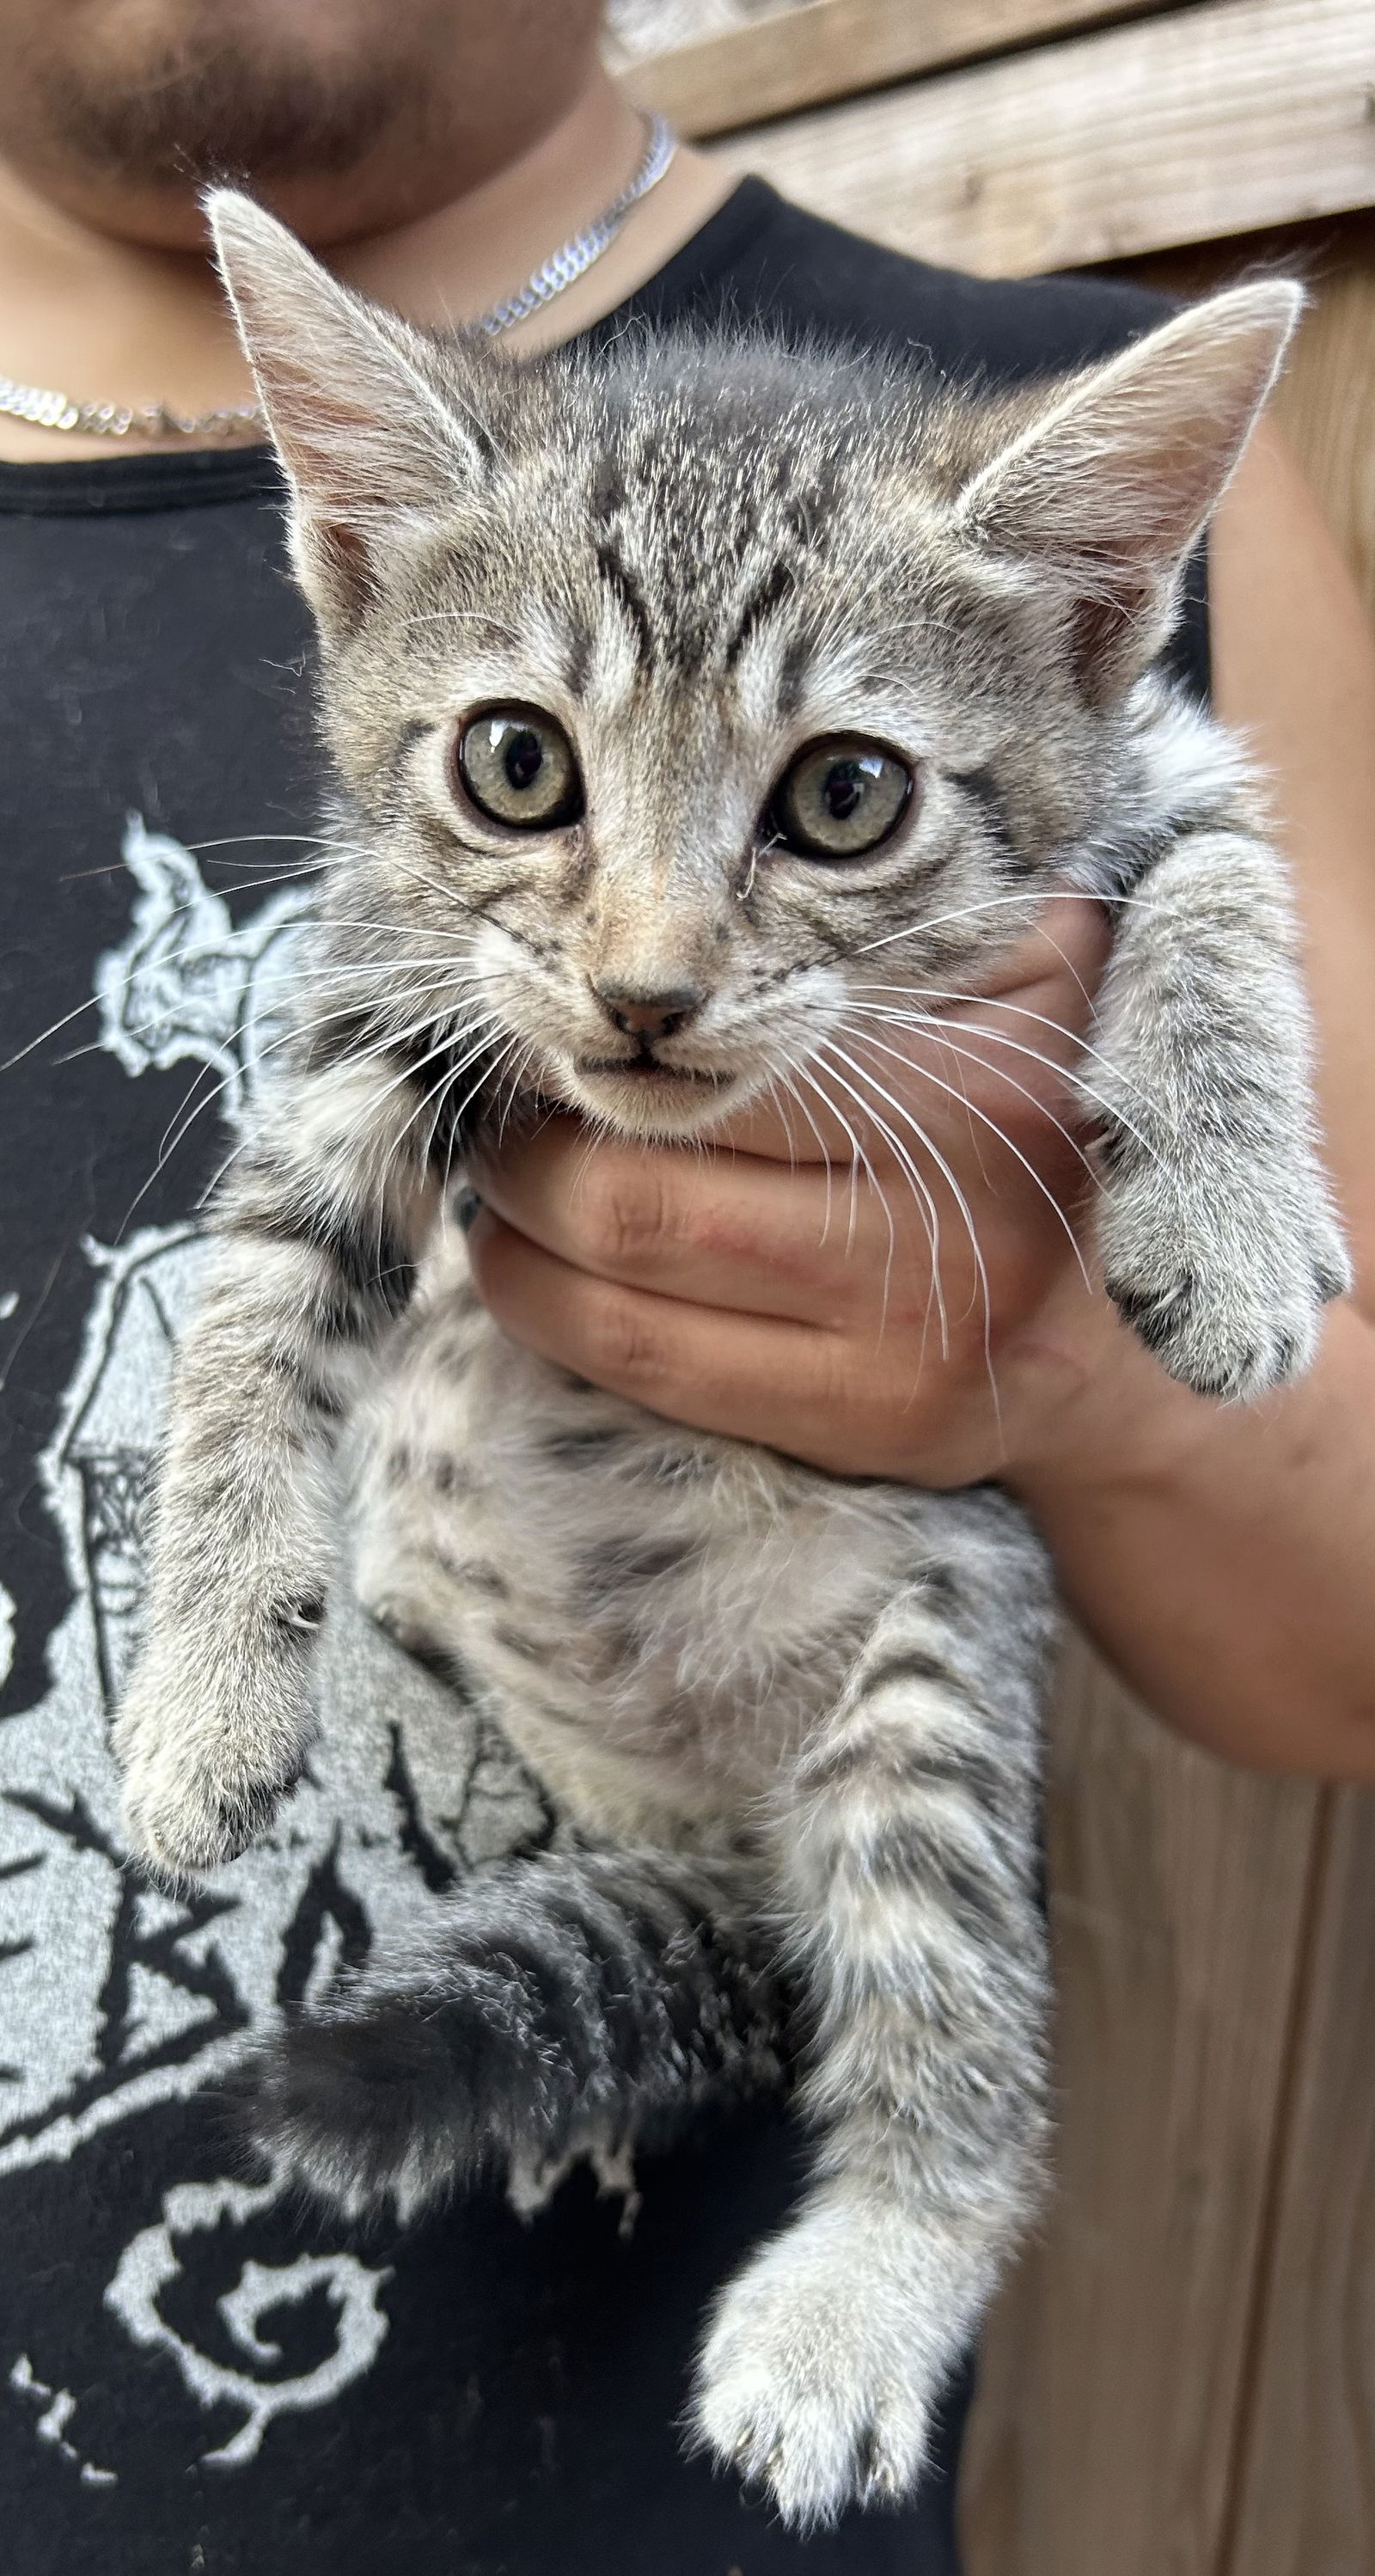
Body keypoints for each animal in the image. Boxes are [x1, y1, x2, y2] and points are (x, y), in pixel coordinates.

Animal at [113, 190, 1349, 2524]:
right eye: (515, 762)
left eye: (844, 794)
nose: (645, 993)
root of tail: (713, 1826)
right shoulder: (384, 984)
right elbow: (253, 1290)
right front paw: (204, 1683)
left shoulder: (1163, 751)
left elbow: (1233, 891)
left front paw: (1227, 1206)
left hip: (933, 1668)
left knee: (956, 2033)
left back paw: (864, 2284)